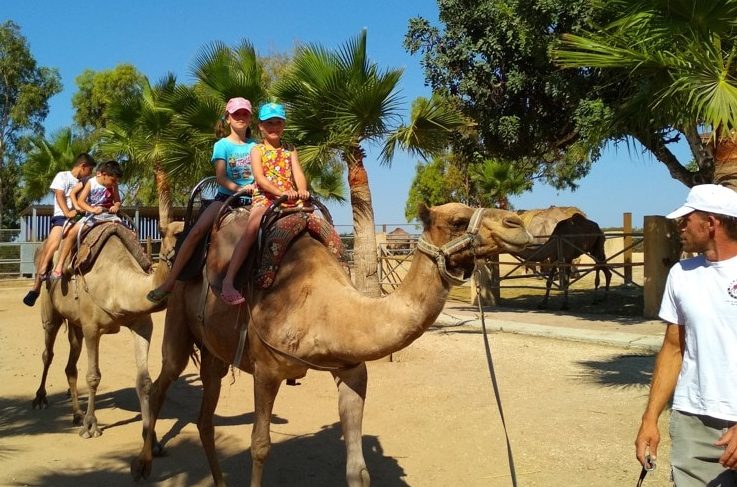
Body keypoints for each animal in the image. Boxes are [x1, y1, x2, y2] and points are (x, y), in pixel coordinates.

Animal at [31, 220, 181, 440]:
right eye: (178, 234)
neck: (116, 284)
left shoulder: (143, 325)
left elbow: (144, 381)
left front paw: (150, 436)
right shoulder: (91, 328)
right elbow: (93, 377)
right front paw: (90, 426)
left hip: (75, 322)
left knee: (71, 365)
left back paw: (77, 414)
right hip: (50, 308)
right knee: (48, 352)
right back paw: (41, 399)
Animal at [130, 202, 532, 487]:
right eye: (459, 221)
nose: (518, 224)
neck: (324, 306)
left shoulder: (352, 370)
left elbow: (359, 470)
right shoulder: (266, 370)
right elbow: (259, 447)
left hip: (216, 351)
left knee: (204, 417)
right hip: (179, 320)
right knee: (164, 381)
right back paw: (144, 462)